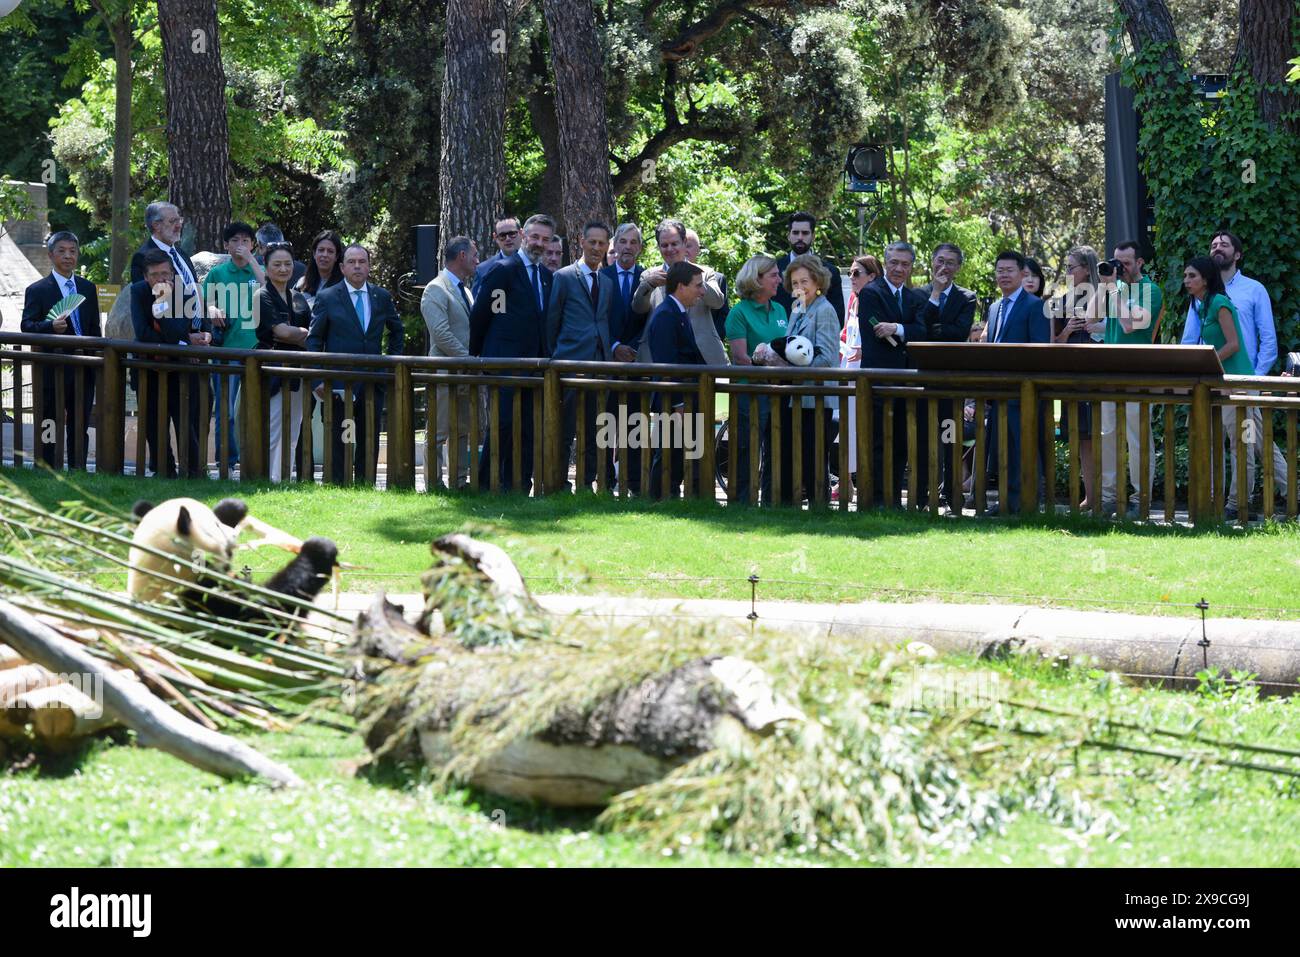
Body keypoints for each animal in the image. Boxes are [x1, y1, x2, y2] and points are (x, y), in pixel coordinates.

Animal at [128, 497, 339, 633]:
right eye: (216, 527)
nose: (234, 534)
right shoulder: (200, 602)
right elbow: (262, 618)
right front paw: (318, 550)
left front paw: (232, 507)